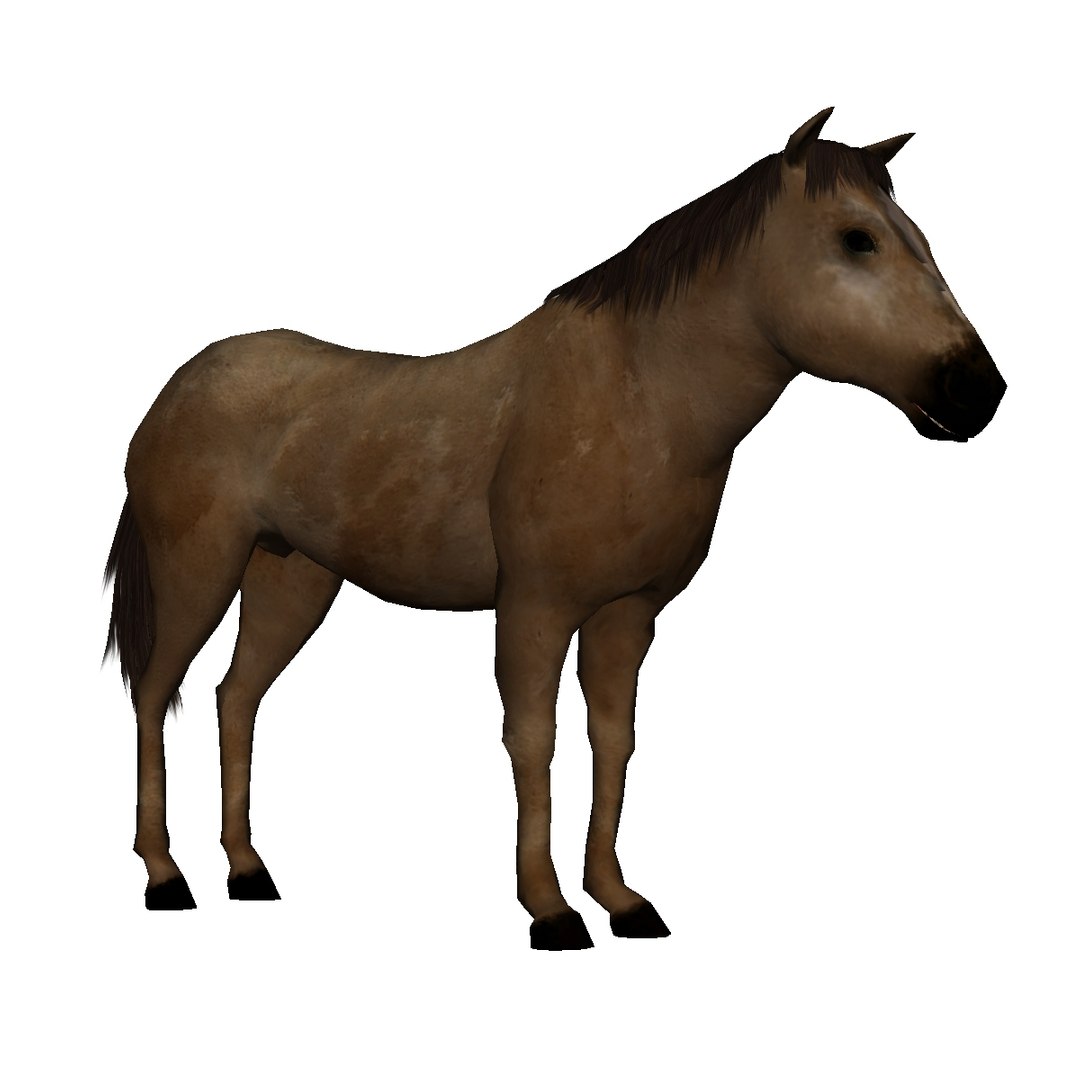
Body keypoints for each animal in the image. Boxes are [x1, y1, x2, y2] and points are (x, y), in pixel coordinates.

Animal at [104, 107, 1006, 950]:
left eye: (917, 239)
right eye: (857, 239)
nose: (979, 391)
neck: (642, 397)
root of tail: (179, 386)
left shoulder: (626, 613)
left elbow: (615, 741)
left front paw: (620, 900)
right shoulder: (535, 607)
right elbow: (533, 741)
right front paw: (551, 911)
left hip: (291, 575)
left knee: (235, 697)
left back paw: (247, 870)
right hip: (198, 570)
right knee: (153, 693)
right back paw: (165, 876)